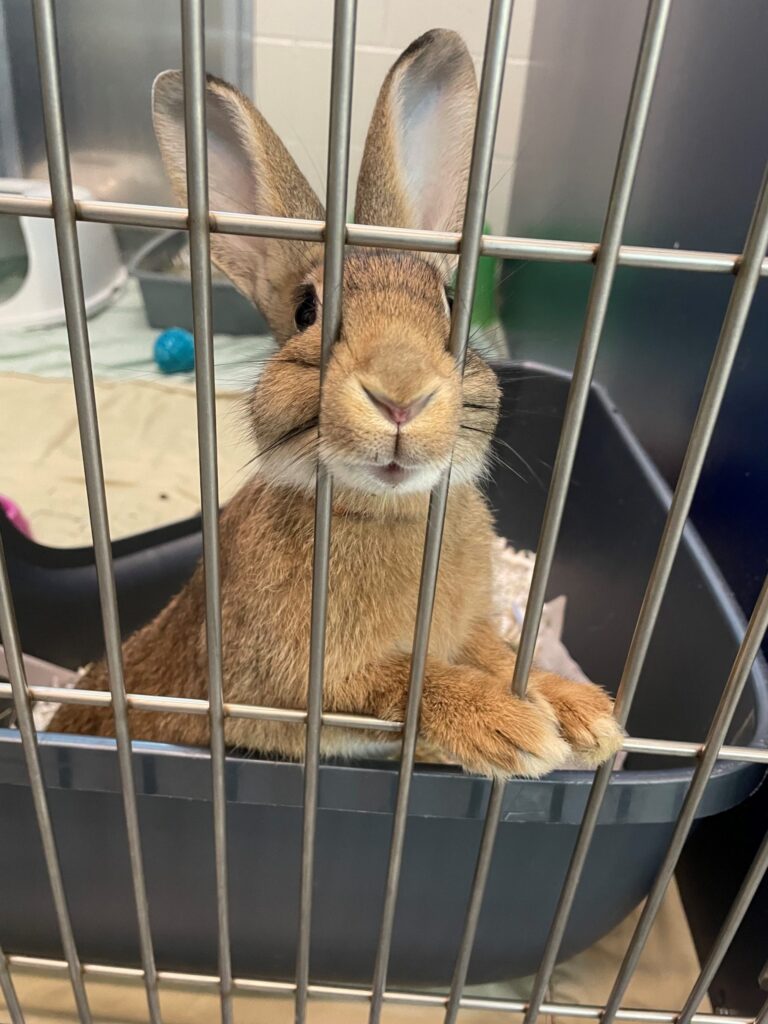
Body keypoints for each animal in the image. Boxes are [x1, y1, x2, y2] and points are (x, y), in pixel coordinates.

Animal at [51, 29, 624, 778]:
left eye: (449, 303)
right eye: (305, 313)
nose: (401, 395)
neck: (386, 509)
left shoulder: (468, 631)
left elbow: (498, 655)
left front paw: (585, 715)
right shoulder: (297, 690)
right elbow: (404, 680)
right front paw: (514, 728)